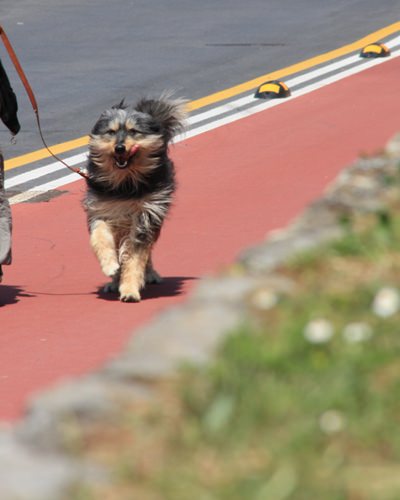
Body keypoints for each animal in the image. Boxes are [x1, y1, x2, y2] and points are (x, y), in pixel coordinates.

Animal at [84, 96, 186, 302]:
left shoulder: (146, 216)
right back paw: (114, 280)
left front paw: (130, 289)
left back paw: (149, 274)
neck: (125, 183)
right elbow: (100, 237)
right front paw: (110, 266)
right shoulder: (101, 210)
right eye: (111, 132)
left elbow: (135, 258)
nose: (120, 148)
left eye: (133, 131)